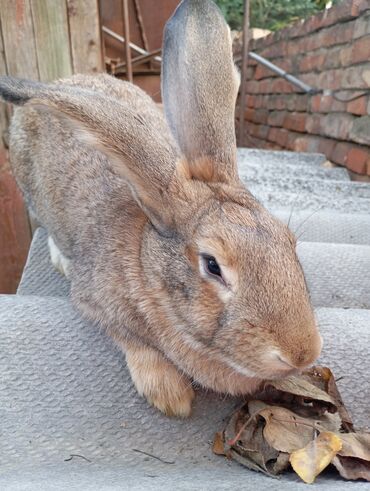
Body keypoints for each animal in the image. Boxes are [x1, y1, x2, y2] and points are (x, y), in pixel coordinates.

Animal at [0, 0, 320, 418]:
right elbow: (131, 339)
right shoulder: (95, 301)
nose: (302, 354)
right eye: (212, 265)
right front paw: (170, 396)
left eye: (290, 242)